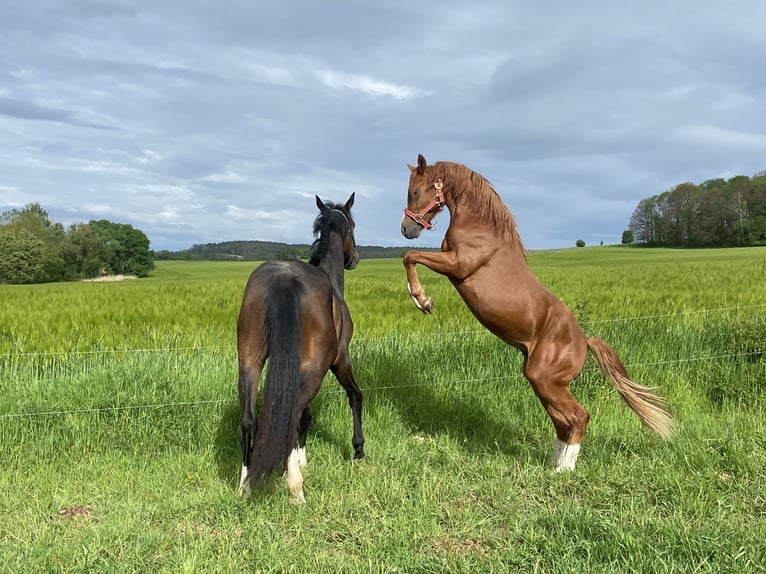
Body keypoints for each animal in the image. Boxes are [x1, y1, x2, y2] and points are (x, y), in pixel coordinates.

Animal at [236, 195, 364, 504]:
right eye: (353, 226)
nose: (355, 259)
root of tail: (284, 279)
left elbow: (306, 416)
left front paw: (299, 458)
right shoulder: (340, 360)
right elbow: (354, 397)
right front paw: (358, 451)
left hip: (249, 362)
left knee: (249, 420)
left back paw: (245, 484)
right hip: (315, 368)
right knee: (292, 414)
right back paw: (296, 488)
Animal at [402, 153, 672, 472]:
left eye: (415, 191)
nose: (406, 230)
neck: (481, 228)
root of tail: (585, 340)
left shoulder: (457, 265)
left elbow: (410, 257)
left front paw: (422, 301)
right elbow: (411, 257)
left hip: (545, 381)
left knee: (579, 416)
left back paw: (564, 470)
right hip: (542, 382)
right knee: (563, 423)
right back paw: (554, 466)